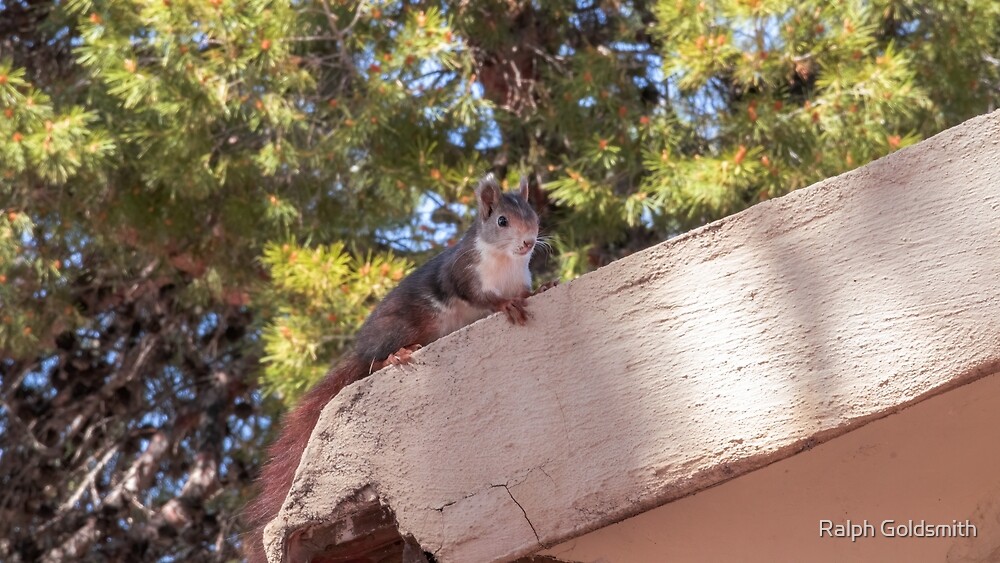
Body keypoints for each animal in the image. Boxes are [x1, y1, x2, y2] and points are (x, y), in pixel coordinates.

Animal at [246, 174, 552, 560]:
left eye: (533, 215)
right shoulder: (463, 275)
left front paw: (543, 288)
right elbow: (482, 298)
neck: (505, 262)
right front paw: (507, 305)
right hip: (401, 326)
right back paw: (394, 356)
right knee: (375, 362)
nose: (528, 242)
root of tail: (364, 347)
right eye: (501, 221)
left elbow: (526, 292)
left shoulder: (519, 277)